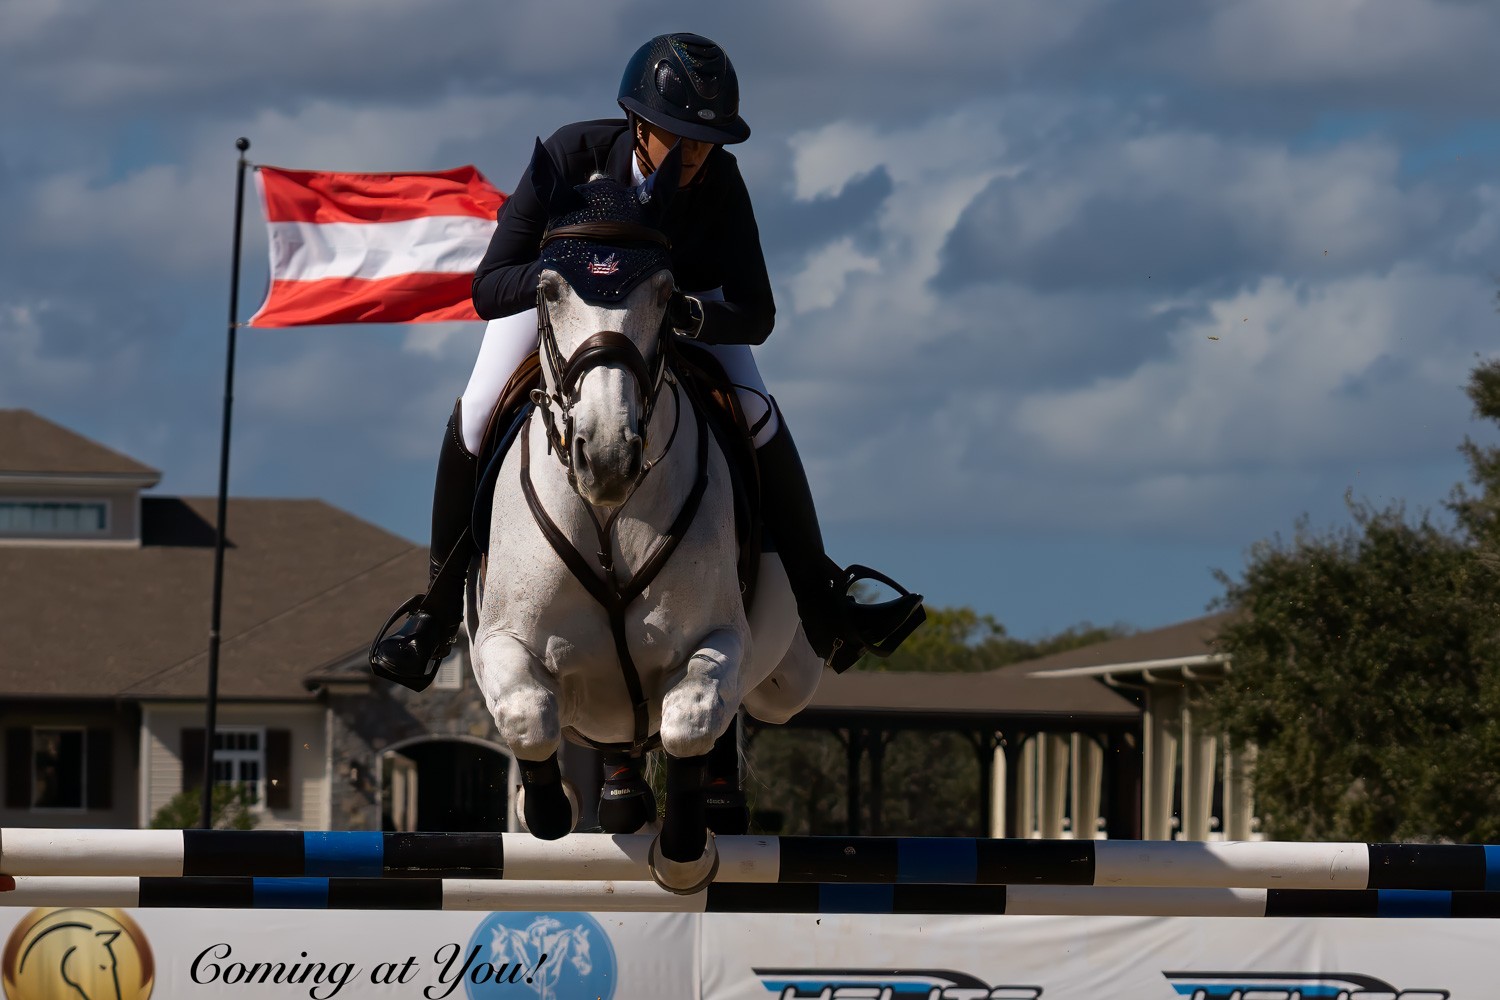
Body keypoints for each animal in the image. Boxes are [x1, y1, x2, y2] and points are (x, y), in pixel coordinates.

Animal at [465, 141, 823, 893]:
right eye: (547, 291)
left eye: (665, 294)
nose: (606, 454)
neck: (609, 519)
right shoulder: (499, 642)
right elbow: (528, 716)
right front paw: (546, 808)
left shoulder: (718, 637)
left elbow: (692, 718)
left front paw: (684, 850)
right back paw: (622, 794)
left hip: (788, 678)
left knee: (748, 706)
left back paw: (717, 800)